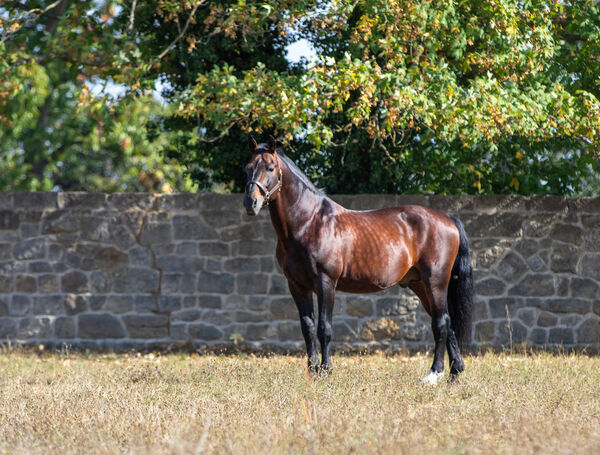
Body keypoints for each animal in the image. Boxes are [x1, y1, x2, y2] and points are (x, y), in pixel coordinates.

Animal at [240, 136, 474, 384]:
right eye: (247, 168)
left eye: (270, 168)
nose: (250, 203)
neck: (309, 222)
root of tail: (448, 219)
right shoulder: (297, 286)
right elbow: (308, 328)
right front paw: (312, 372)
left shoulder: (326, 283)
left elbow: (324, 328)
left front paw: (326, 371)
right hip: (420, 285)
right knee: (448, 323)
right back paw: (454, 373)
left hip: (436, 283)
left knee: (441, 323)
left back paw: (433, 375)